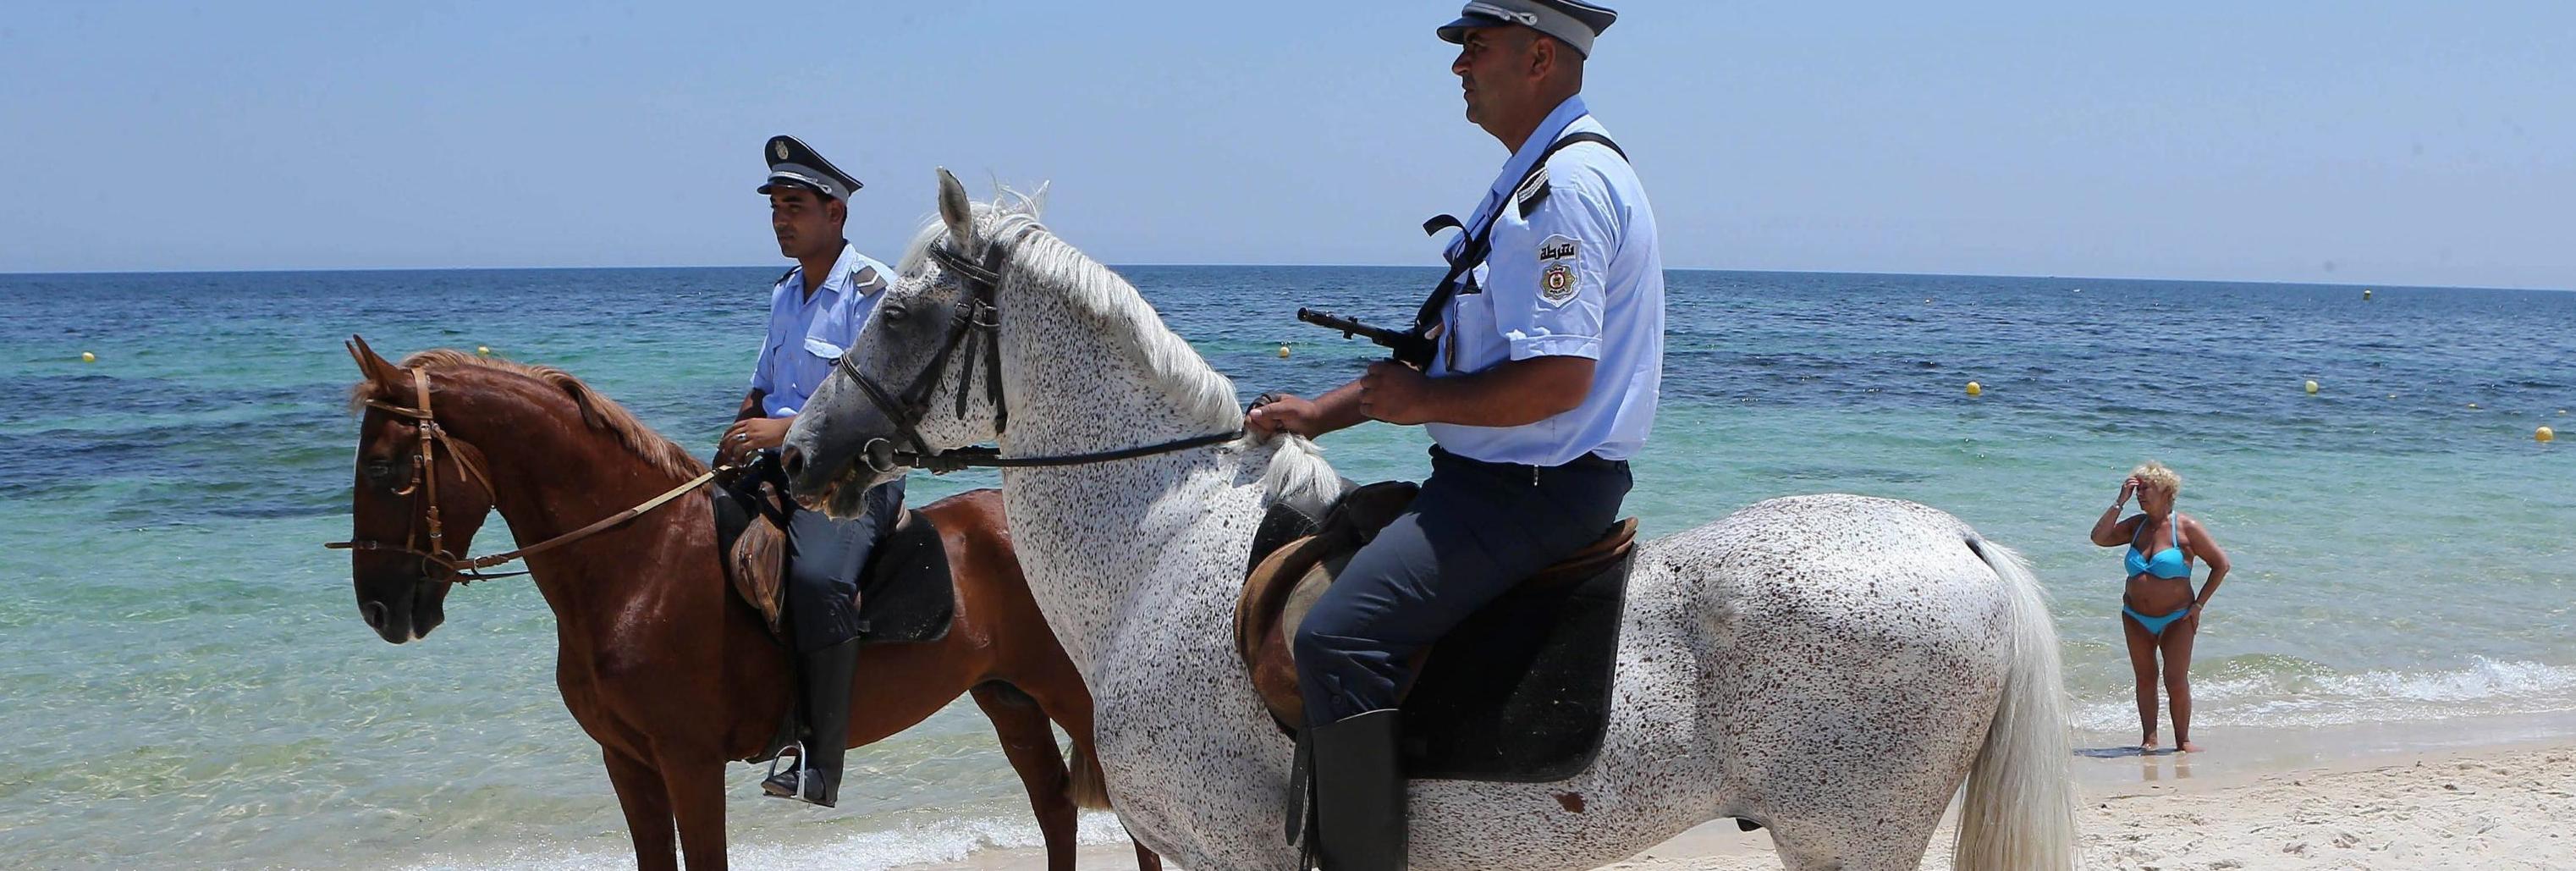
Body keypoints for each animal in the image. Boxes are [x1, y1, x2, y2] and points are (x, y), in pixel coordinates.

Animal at [339, 342, 1159, 871]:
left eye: (383, 467)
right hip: (1009, 696)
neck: (639, 561)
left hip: (1071, 693)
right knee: (1054, 806)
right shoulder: (627, 761)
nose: (378, 608)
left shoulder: (689, 762)